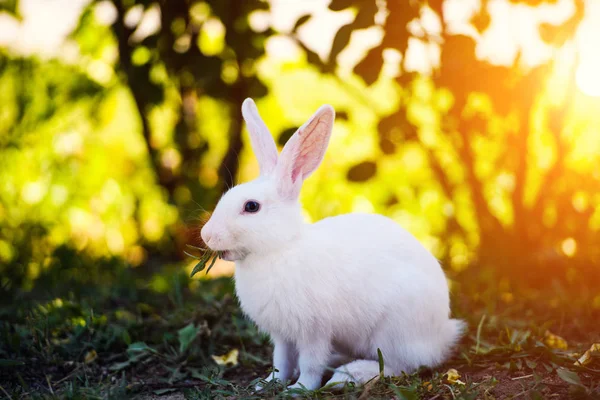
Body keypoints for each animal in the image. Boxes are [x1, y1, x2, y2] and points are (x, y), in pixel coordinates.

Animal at [200, 97, 464, 390]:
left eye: (251, 207)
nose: (206, 235)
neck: (279, 248)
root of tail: (440, 335)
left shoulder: (314, 331)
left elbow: (311, 364)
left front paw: (300, 389)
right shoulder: (283, 336)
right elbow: (281, 360)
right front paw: (268, 383)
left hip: (393, 330)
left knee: (399, 365)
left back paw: (348, 375)